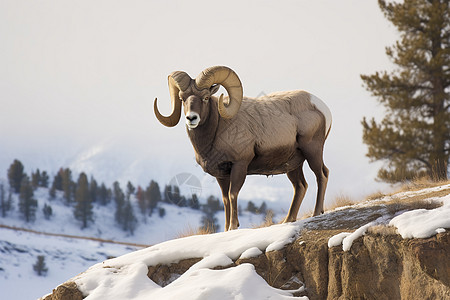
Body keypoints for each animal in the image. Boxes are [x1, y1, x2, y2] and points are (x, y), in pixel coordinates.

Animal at [155, 65, 330, 230]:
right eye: (182, 98)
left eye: (205, 97)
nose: (191, 118)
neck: (218, 127)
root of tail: (320, 106)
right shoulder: (221, 174)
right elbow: (225, 199)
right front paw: (226, 229)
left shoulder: (239, 164)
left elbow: (233, 194)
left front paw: (233, 226)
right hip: (292, 164)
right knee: (300, 186)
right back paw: (288, 220)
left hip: (312, 151)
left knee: (322, 175)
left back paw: (317, 213)